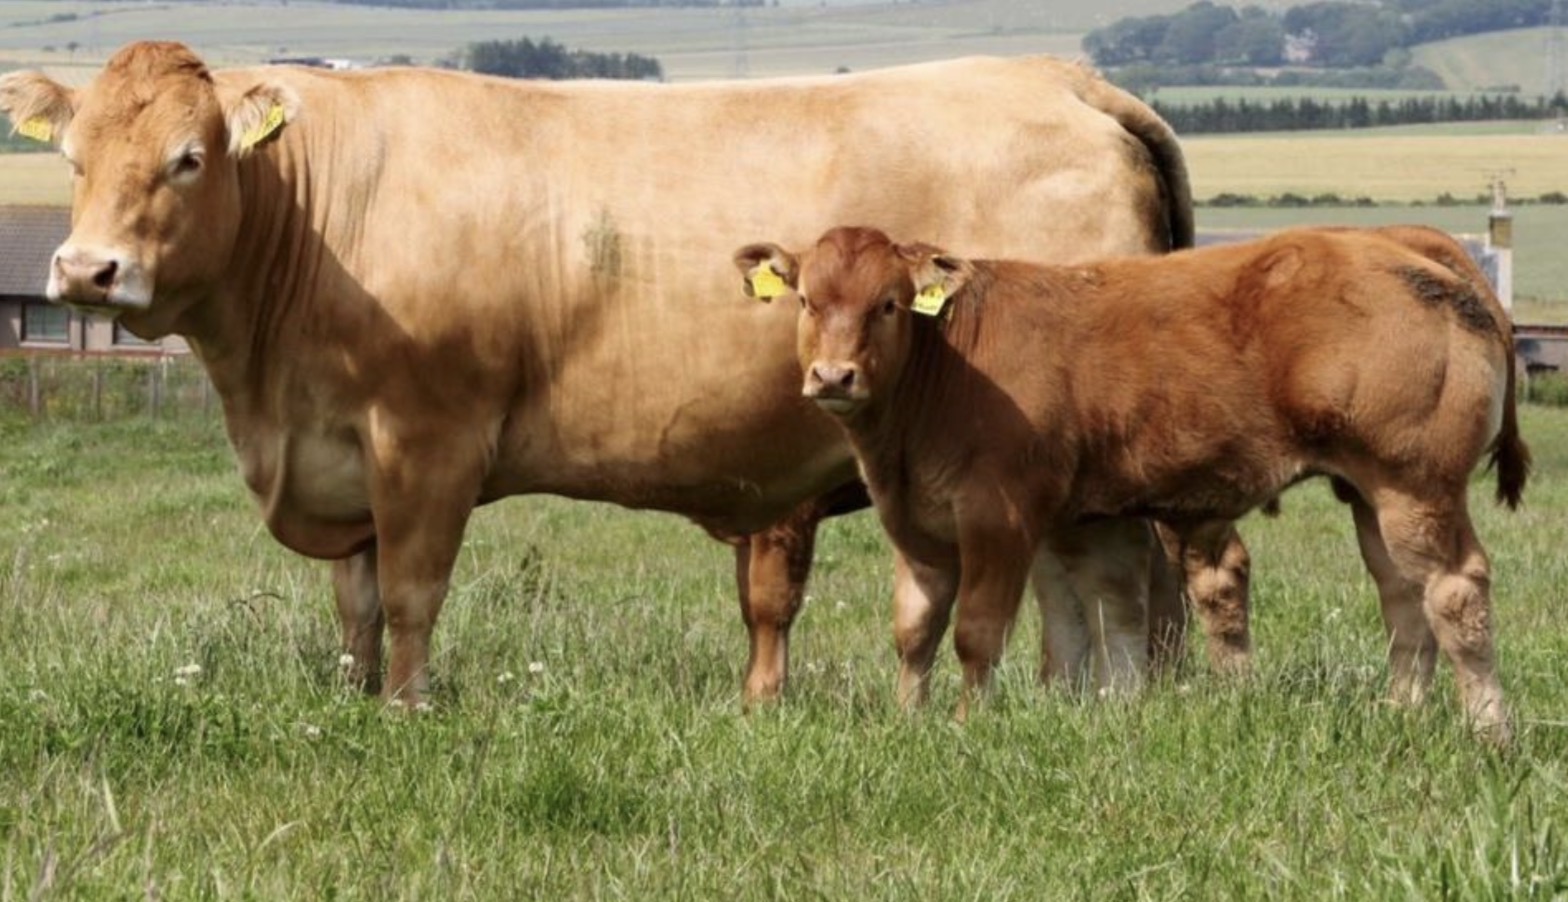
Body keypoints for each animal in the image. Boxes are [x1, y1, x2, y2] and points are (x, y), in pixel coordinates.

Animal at [0, 41, 1208, 707]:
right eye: (74, 158)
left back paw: (1112, 709)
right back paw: (1065, 704)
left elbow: (412, 591)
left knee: (1123, 578)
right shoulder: (340, 450)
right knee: (1076, 579)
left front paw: (406, 711)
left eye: (188, 158)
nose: (85, 269)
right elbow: (355, 603)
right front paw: (348, 699)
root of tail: (1066, 81)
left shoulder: (427, 438)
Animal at [734, 224, 1528, 740]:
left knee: (1455, 591)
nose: (833, 375)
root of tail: (1406, 248)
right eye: (806, 301)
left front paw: (965, 726)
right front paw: (909, 720)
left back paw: (1489, 730)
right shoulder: (924, 526)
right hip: (1370, 492)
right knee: (1402, 596)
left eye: (889, 304)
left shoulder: (999, 517)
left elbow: (976, 633)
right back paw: (1403, 711)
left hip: (1415, 483)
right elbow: (921, 630)